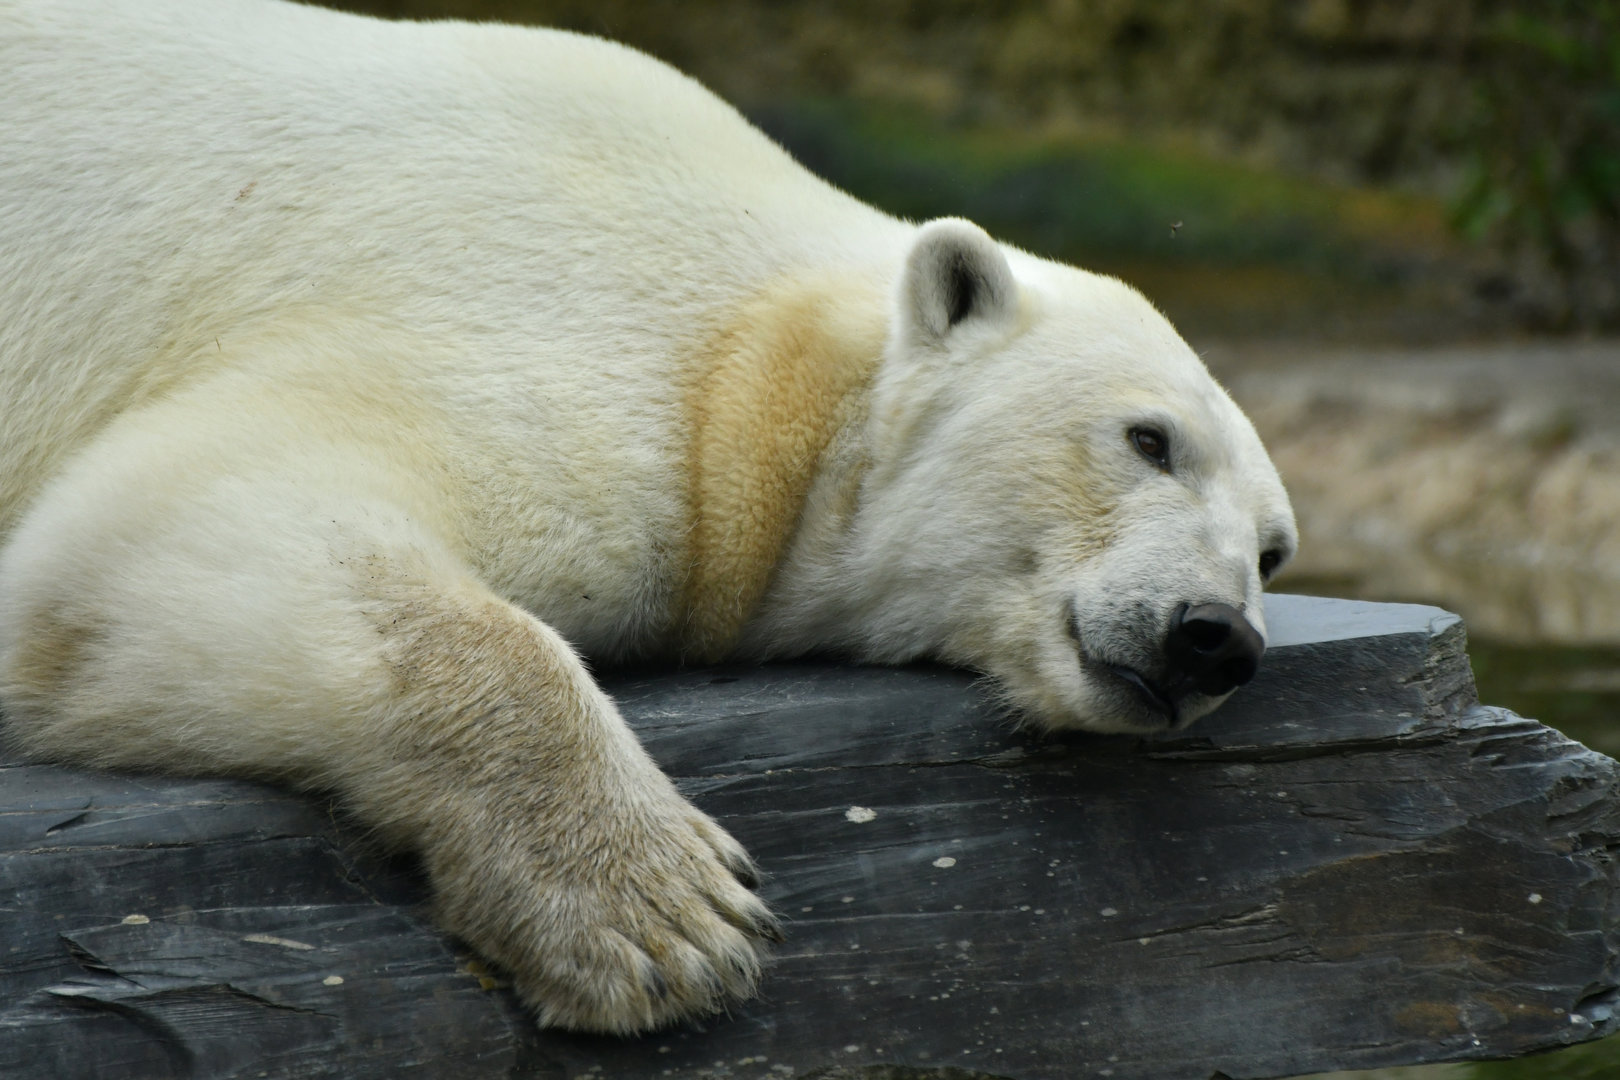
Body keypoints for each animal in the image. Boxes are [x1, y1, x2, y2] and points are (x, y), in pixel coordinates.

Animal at [0, 0, 1296, 1036]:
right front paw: (659, 920)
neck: (774, 355)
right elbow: (179, 517)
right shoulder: (558, 318)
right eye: (1148, 440)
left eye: (1274, 549)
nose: (1214, 636)